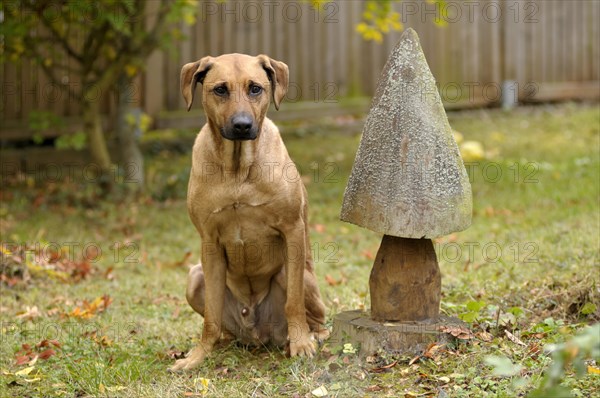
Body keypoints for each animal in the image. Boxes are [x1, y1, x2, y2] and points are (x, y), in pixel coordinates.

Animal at [169, 52, 328, 370]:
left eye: (255, 88)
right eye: (220, 90)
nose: (242, 125)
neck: (237, 170)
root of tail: (258, 333)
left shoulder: (292, 230)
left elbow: (293, 304)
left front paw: (301, 344)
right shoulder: (209, 241)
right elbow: (210, 317)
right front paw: (197, 357)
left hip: (295, 273)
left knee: (314, 316)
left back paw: (309, 336)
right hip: (195, 277)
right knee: (219, 323)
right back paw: (222, 343)